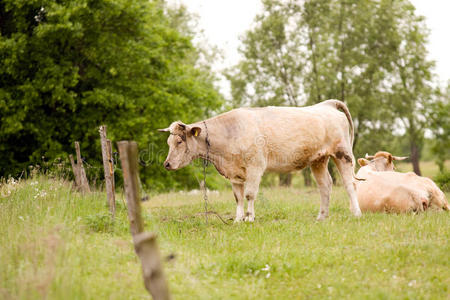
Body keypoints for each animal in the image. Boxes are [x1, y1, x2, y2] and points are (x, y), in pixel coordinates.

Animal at [158, 99, 362, 221]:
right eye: (168, 142)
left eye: (179, 141)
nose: (166, 164)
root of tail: (327, 104)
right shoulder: (234, 173)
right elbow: (238, 197)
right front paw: (238, 220)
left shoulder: (255, 166)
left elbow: (249, 194)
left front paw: (249, 218)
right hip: (318, 159)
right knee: (325, 185)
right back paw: (322, 217)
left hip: (343, 153)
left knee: (349, 184)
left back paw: (357, 213)